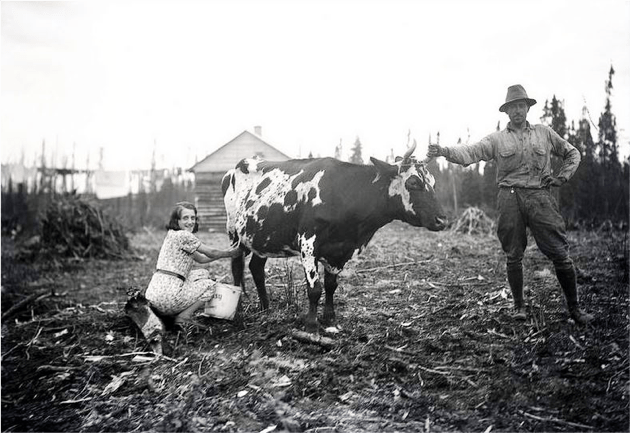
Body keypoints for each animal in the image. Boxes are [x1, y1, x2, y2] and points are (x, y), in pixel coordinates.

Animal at [222, 141, 450, 330]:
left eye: (434, 183)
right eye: (413, 182)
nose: (442, 220)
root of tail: (236, 167)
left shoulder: (341, 250)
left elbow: (331, 286)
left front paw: (330, 318)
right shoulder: (308, 244)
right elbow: (315, 288)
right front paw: (311, 324)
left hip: (262, 237)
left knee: (256, 268)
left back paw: (266, 307)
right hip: (234, 234)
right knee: (237, 268)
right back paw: (238, 310)